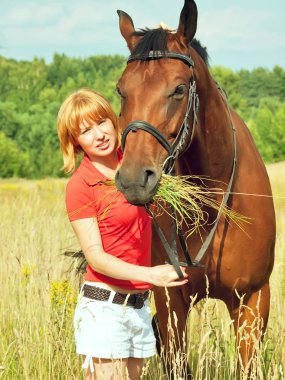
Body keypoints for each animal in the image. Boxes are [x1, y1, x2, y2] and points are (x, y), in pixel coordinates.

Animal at [113, 1, 276, 378]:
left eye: (178, 89)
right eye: (121, 90)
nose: (133, 179)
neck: (213, 205)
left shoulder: (253, 302)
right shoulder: (170, 301)